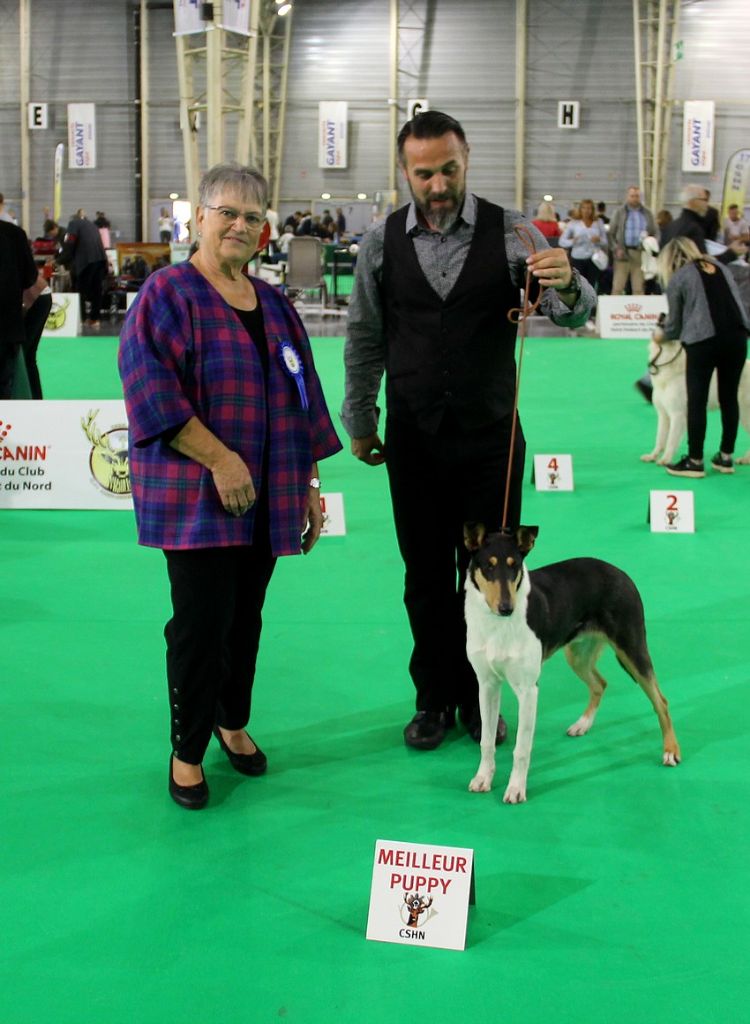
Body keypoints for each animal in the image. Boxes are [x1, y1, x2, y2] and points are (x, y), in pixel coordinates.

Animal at [463, 524, 680, 802]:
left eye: (515, 566)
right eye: (488, 567)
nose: (506, 608)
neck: (497, 627)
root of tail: (619, 571)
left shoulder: (528, 690)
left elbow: (521, 748)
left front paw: (516, 789)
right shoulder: (487, 685)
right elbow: (487, 741)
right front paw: (482, 778)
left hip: (632, 650)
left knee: (661, 701)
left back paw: (670, 751)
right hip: (578, 655)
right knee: (600, 683)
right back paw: (582, 725)